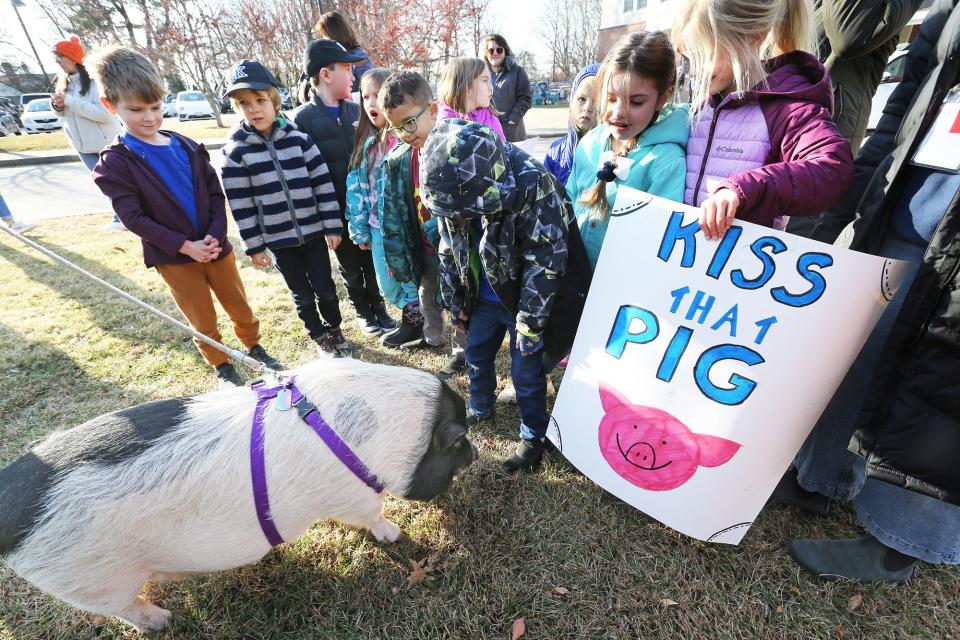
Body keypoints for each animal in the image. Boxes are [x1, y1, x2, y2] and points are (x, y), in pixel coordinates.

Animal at [0, 358, 476, 632]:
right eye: (457, 442)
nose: (474, 453)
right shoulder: (354, 497)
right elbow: (374, 515)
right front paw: (396, 535)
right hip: (95, 583)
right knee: (127, 609)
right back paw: (164, 621)